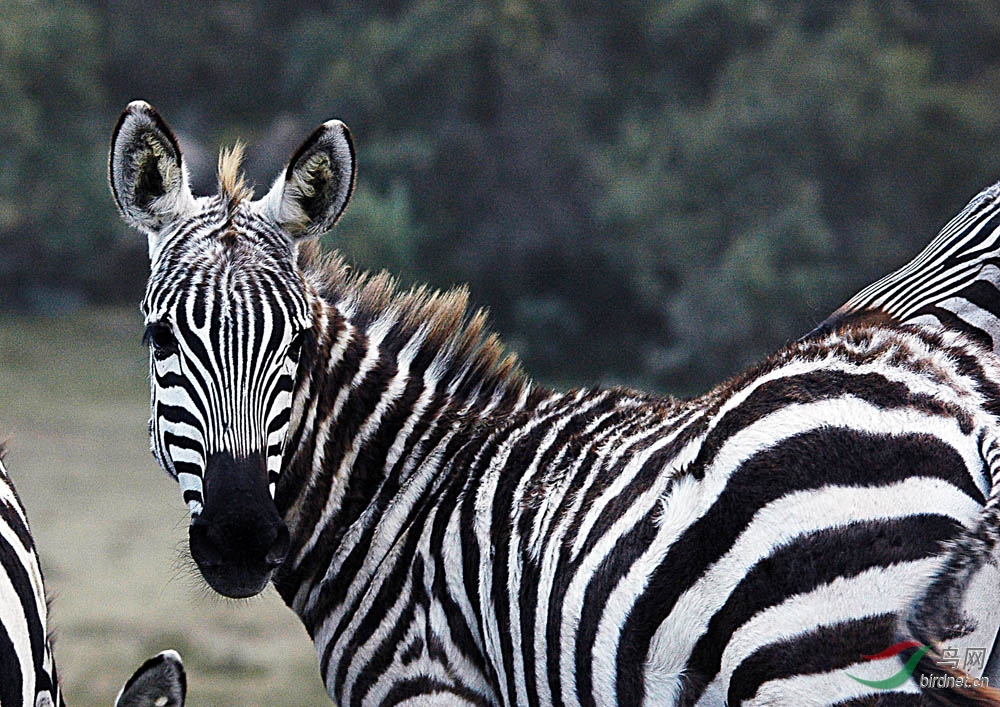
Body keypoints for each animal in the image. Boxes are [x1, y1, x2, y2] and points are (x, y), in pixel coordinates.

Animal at [107, 101, 1000, 707]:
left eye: (293, 344)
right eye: (160, 337)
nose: (240, 538)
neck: (399, 506)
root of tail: (957, 420)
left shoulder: (430, 687)